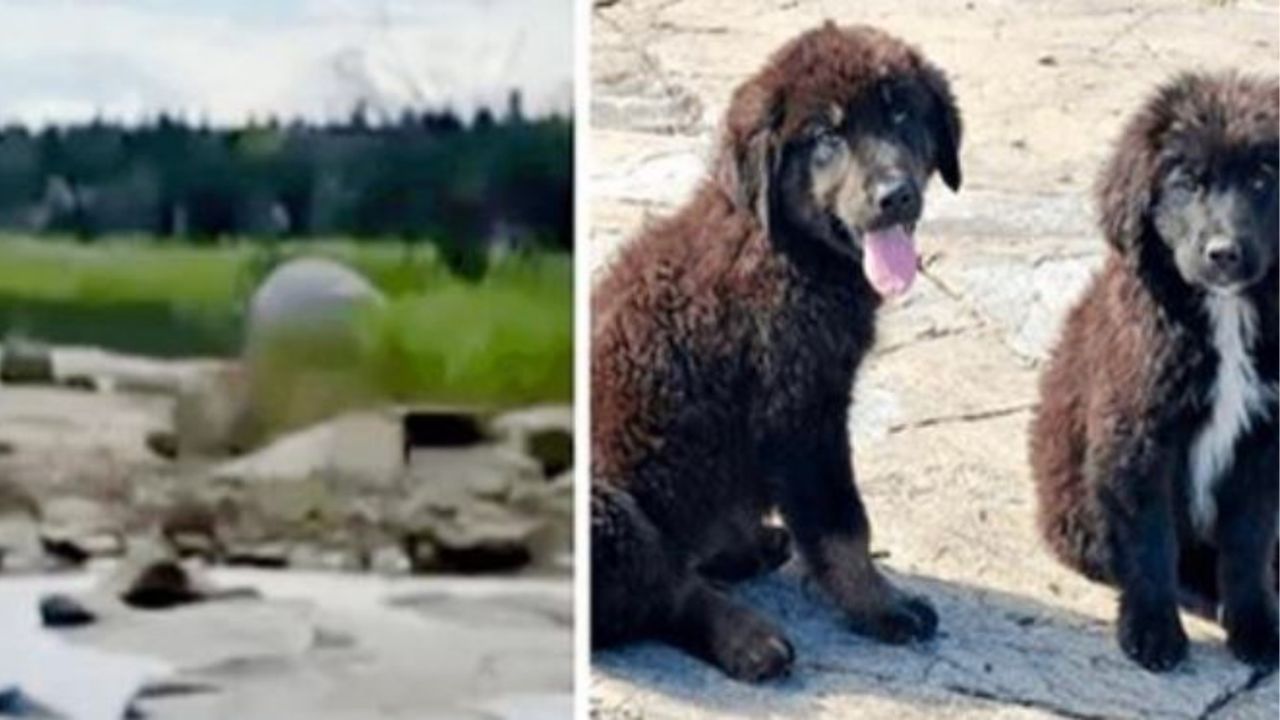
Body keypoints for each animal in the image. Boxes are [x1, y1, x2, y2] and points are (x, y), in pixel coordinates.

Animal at [588, 22, 962, 681]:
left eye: (901, 114)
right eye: (827, 136)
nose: (896, 196)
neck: (790, 251)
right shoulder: (801, 415)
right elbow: (844, 526)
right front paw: (880, 606)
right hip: (607, 513)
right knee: (658, 588)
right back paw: (747, 635)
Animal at [1034, 70, 1274, 671]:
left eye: (1263, 180)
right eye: (1187, 183)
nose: (1224, 253)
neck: (1225, 314)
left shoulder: (1264, 440)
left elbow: (1249, 542)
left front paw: (1256, 628)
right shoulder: (1138, 432)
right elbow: (1150, 542)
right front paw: (1152, 632)